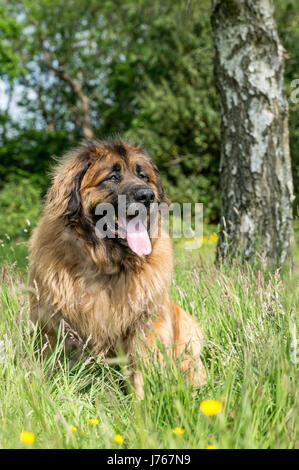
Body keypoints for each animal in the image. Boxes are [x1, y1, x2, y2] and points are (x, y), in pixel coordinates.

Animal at [28, 140, 206, 396]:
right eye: (112, 177)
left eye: (143, 176)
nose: (147, 195)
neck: (106, 265)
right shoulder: (55, 325)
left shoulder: (145, 323)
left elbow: (141, 370)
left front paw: (140, 403)